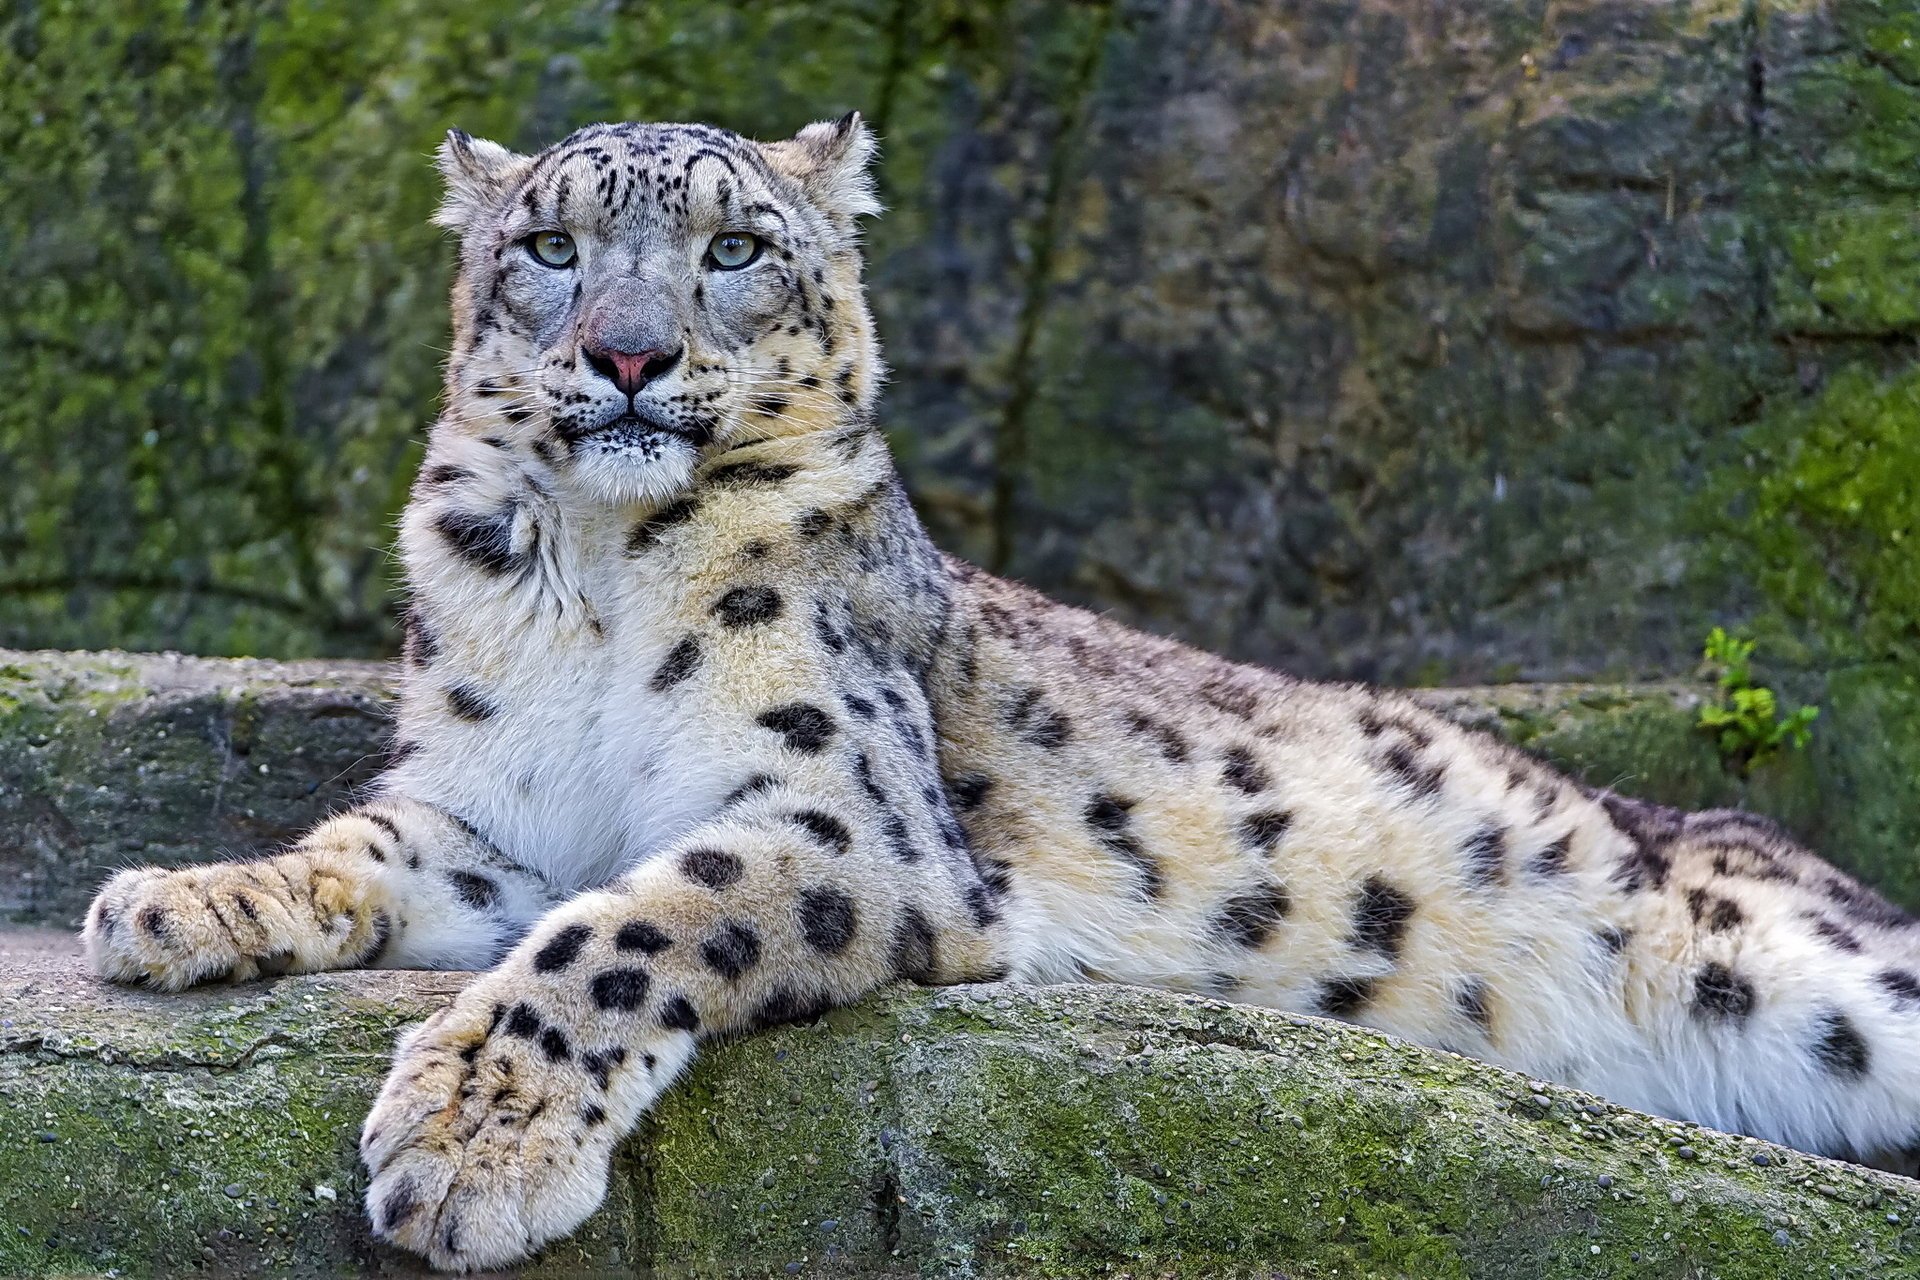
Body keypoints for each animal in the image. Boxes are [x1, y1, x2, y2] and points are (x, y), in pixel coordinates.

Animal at [83, 113, 1920, 1272]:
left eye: (734, 246)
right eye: (547, 242)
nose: (626, 352)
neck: (593, 577)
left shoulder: (845, 814)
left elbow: (628, 927)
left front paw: (470, 1141)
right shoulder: (489, 815)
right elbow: (359, 847)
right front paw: (179, 903)